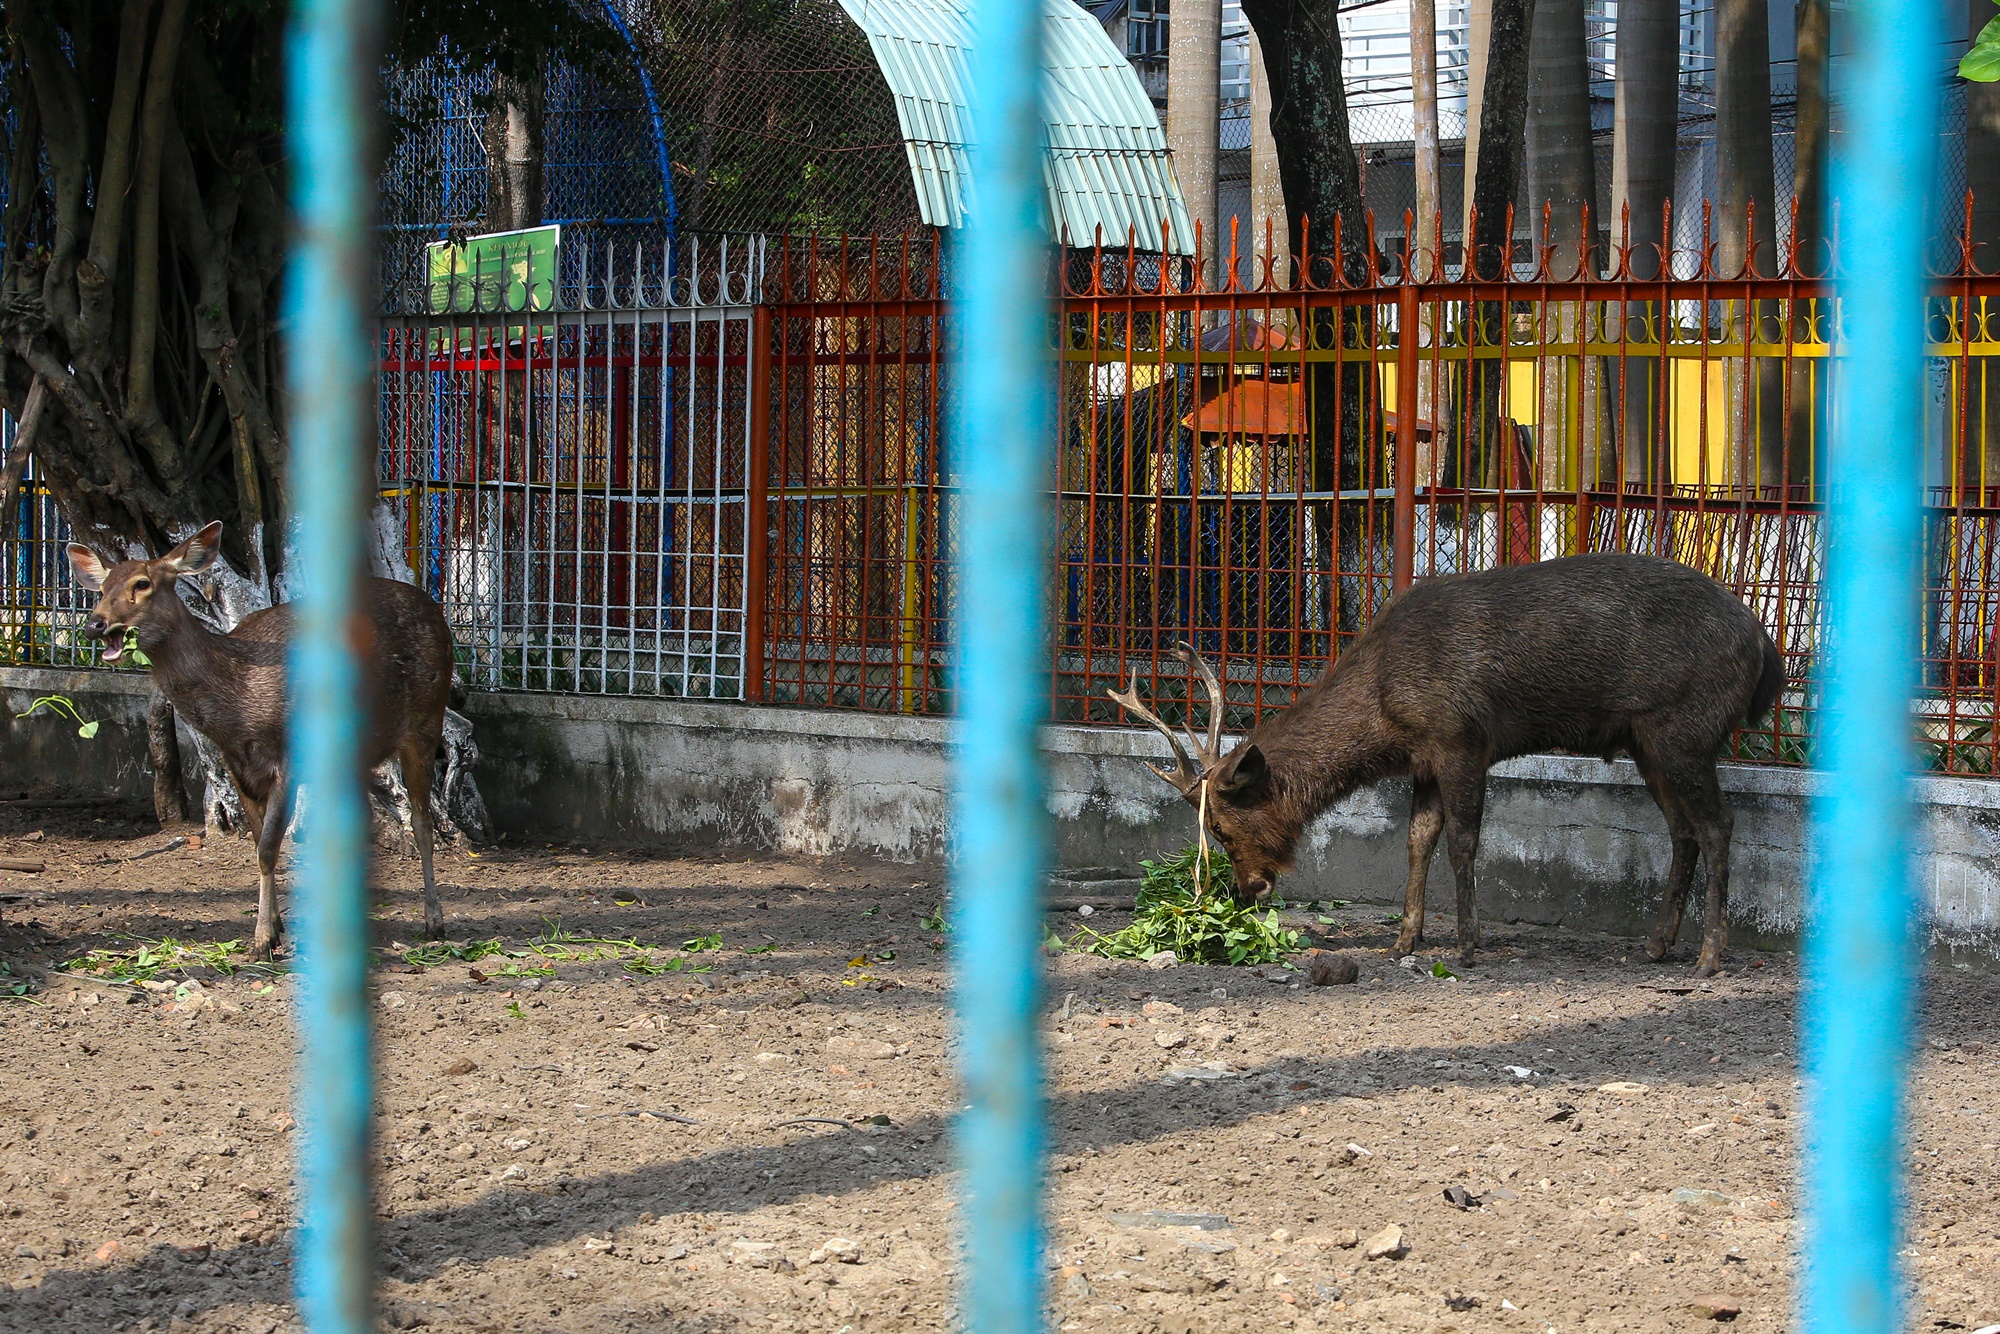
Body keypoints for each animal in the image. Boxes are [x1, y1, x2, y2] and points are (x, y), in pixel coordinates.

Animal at [70, 520, 458, 960]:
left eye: (142, 583)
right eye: (102, 588)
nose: (95, 624)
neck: (238, 703)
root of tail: (437, 612)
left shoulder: (288, 758)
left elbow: (269, 847)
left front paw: (261, 941)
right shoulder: (237, 763)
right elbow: (258, 842)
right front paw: (274, 929)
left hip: (426, 718)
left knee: (423, 822)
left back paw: (434, 922)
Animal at [1112, 548, 1784, 976]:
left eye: (1220, 827)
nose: (1246, 889)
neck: (1386, 710)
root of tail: (1763, 647)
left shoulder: (1462, 741)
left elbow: (1463, 841)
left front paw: (1466, 943)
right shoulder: (1424, 759)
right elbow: (1417, 838)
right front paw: (1404, 939)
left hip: (1685, 730)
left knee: (1718, 824)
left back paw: (1709, 956)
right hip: (1649, 742)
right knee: (1683, 830)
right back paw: (1656, 946)